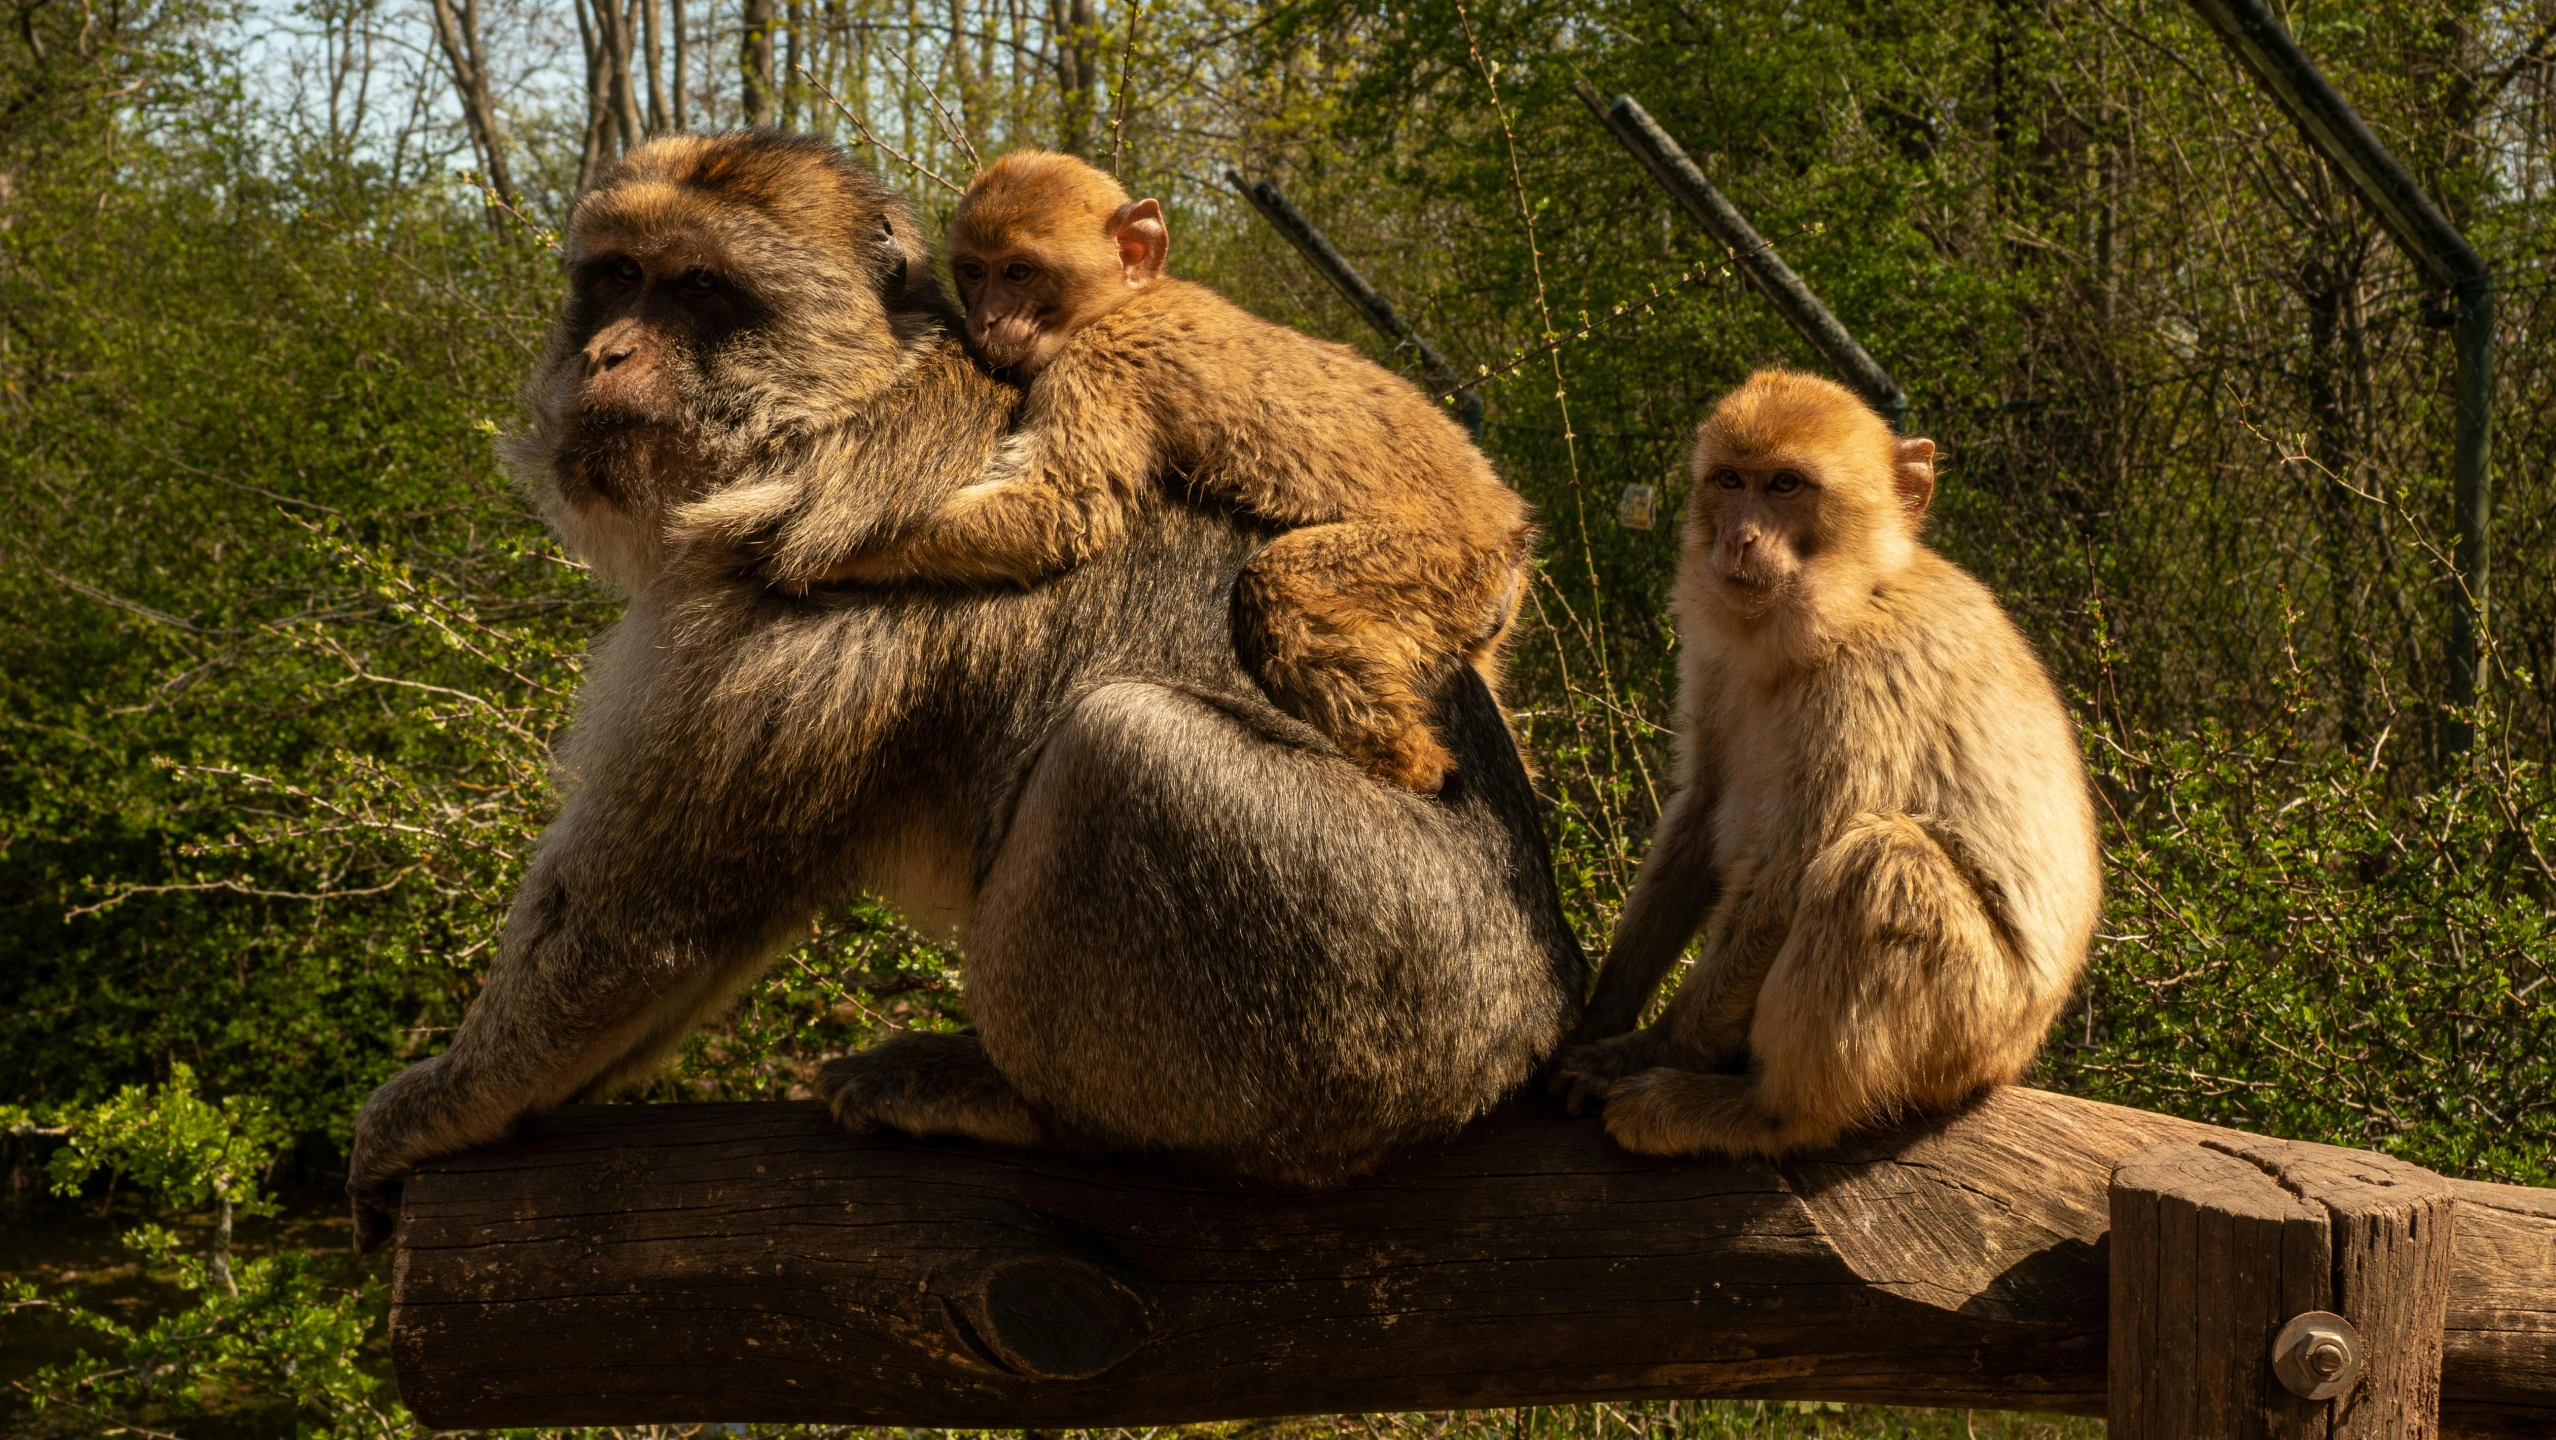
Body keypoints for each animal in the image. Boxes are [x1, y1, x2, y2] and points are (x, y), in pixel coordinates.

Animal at [777, 152, 1523, 792]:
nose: (987, 318)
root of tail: (1507, 526)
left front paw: (812, 550)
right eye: (972, 270)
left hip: (1439, 558)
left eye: (1018, 272)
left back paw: (1414, 768)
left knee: (1283, 586)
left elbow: (1064, 508)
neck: (1121, 302)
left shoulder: (1102, 363)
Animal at [1554, 370, 2095, 1161]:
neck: (1853, 597)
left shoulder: (1869, 680)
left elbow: (1789, 872)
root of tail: (2011, 1056)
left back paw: (1762, 1113)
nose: (1739, 536)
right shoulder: (1715, 664)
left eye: (1785, 485)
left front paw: (1642, 1051)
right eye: (1729, 481)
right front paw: (1603, 1014)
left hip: (1968, 1026)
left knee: (1882, 863)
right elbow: (1700, 811)